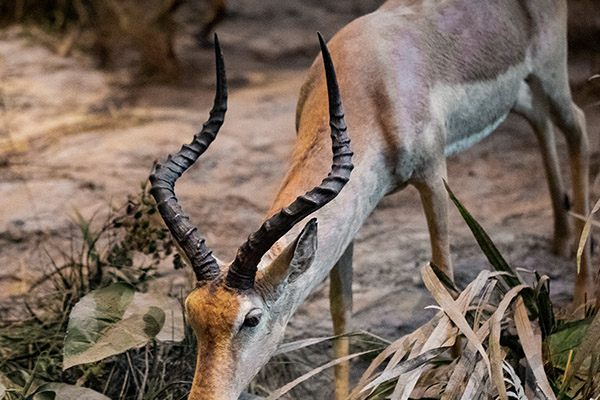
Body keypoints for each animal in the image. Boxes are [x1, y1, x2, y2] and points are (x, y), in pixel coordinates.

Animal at [149, 1, 592, 398]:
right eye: (191, 312)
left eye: (251, 319)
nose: (204, 396)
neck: (373, 86)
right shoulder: (348, 207)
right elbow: (341, 308)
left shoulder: (434, 177)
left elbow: (446, 283)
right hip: (520, 91)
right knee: (539, 120)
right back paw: (559, 238)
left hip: (550, 73)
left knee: (577, 125)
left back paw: (582, 295)